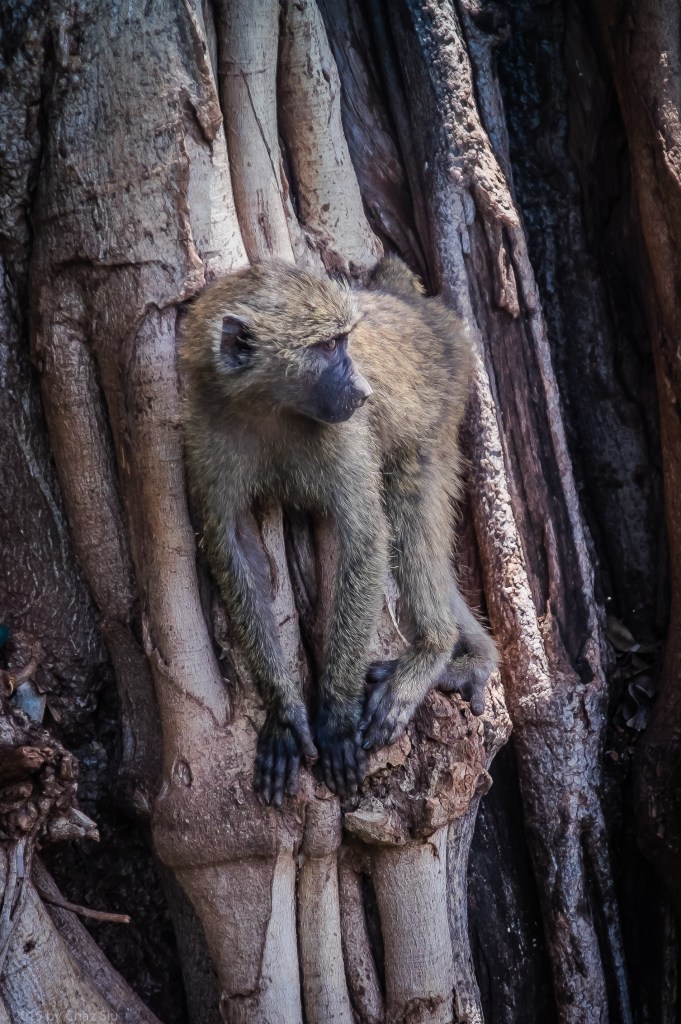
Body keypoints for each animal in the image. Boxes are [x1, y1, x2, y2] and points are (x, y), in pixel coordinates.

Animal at [180, 256, 498, 806]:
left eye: (343, 341)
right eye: (327, 347)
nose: (363, 391)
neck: (268, 407)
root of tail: (414, 306)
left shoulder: (345, 433)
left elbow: (366, 537)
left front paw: (335, 715)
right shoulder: (206, 430)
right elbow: (233, 548)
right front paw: (286, 714)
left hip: (444, 399)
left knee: (411, 503)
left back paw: (434, 649)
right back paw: (473, 658)